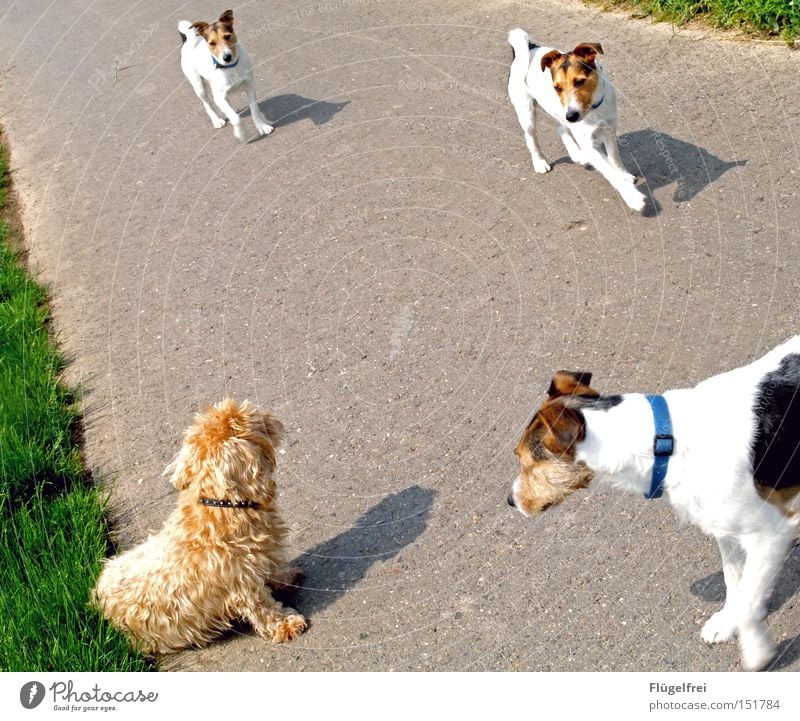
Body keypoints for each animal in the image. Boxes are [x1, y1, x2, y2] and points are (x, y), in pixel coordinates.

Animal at [92, 396, 306, 656]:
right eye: (247, 419)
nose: (268, 415)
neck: (222, 506)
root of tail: (98, 598)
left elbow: (273, 572)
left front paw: (286, 577)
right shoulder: (243, 584)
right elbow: (264, 608)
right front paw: (286, 625)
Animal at [177, 9, 274, 141]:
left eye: (227, 36)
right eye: (212, 43)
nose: (226, 57)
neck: (230, 67)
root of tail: (189, 39)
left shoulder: (249, 86)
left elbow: (254, 109)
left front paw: (262, 126)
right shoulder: (218, 97)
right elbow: (236, 118)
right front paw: (241, 134)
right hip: (198, 86)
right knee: (207, 104)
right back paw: (217, 120)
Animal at [510, 28, 648, 214]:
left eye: (580, 81)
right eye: (557, 88)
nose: (571, 116)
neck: (594, 109)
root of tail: (531, 47)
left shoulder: (609, 129)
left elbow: (614, 158)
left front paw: (624, 175)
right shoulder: (589, 143)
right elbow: (610, 172)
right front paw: (632, 197)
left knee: (561, 128)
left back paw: (577, 154)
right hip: (526, 111)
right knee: (531, 137)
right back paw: (540, 162)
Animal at [510, 338, 796, 668]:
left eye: (527, 461)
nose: (509, 500)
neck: (666, 442)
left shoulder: (770, 533)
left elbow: (748, 601)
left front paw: (757, 651)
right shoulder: (726, 529)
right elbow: (735, 581)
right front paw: (728, 623)